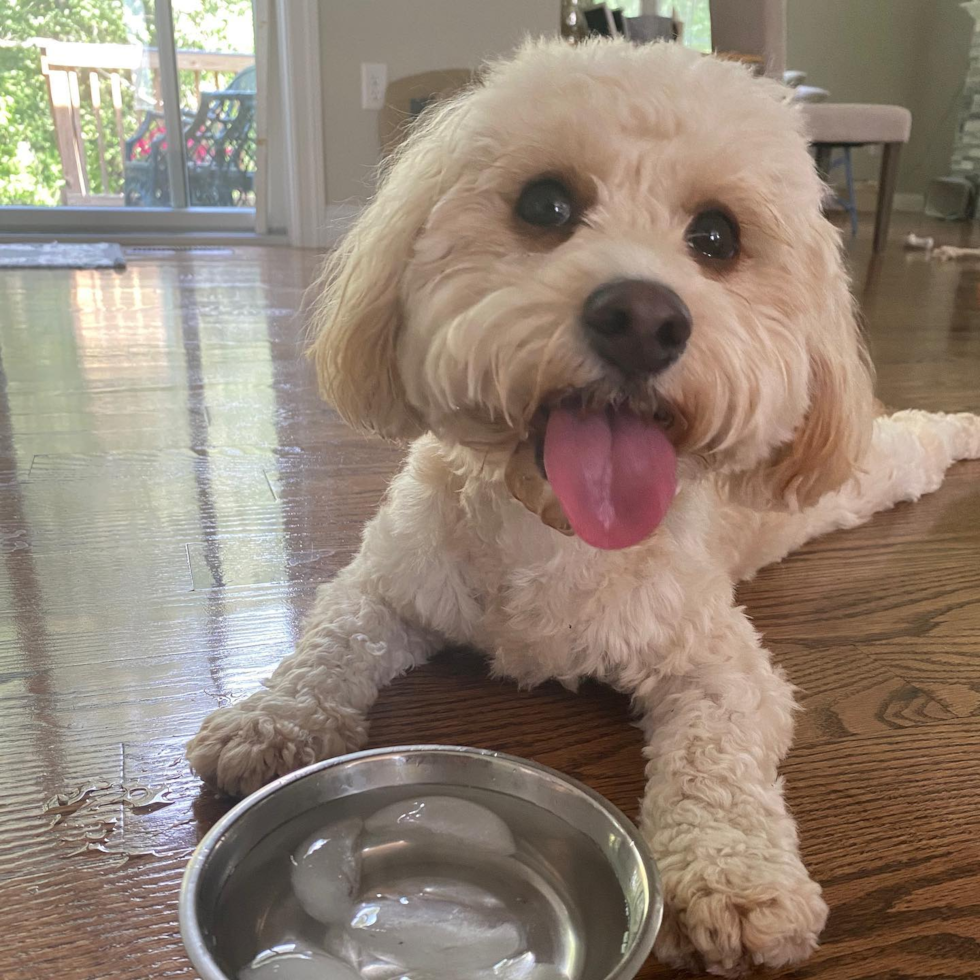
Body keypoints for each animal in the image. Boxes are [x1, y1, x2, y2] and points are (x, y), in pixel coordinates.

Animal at [189, 40, 980, 980]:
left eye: (717, 237)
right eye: (545, 203)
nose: (642, 318)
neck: (556, 526)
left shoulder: (722, 666)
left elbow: (718, 766)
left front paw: (737, 880)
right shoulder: (386, 587)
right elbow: (330, 646)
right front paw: (272, 719)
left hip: (863, 474)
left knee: (918, 441)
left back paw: (963, 426)